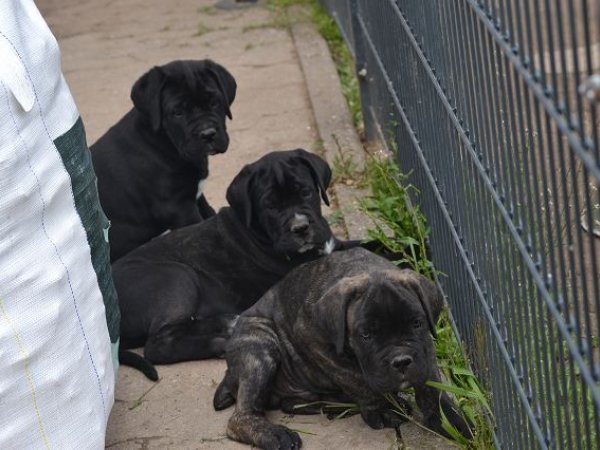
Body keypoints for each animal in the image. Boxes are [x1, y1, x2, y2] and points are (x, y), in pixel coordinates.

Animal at [91, 59, 237, 261]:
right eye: (177, 112)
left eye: (215, 102)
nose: (208, 134)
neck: (165, 141)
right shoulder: (178, 208)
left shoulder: (195, 196)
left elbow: (209, 216)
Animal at [113, 149, 340, 380]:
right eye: (270, 206)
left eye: (305, 192)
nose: (301, 228)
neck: (256, 230)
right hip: (176, 276)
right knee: (158, 346)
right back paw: (223, 343)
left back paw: (227, 323)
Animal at [213, 247, 472, 449]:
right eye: (366, 335)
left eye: (417, 323)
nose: (401, 361)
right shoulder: (312, 340)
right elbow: (356, 378)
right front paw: (382, 408)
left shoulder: (425, 348)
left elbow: (432, 386)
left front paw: (450, 421)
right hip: (261, 347)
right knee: (240, 417)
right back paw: (273, 434)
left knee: (291, 403)